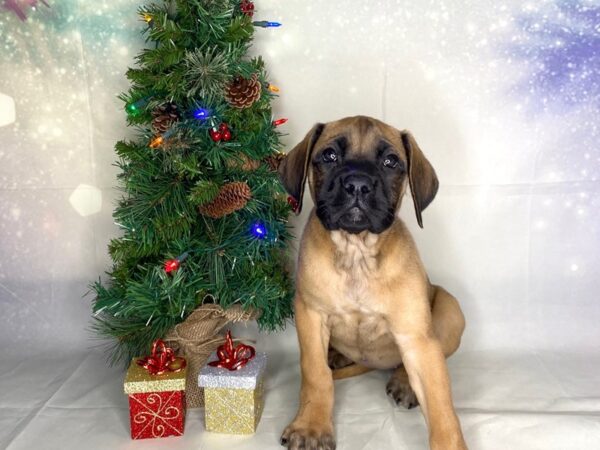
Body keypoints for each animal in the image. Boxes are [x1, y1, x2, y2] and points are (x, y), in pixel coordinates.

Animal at [276, 116, 468, 450]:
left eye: (391, 161)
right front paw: (311, 427)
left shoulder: (416, 336)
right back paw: (337, 356)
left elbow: (440, 404)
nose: (358, 185)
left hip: (449, 307)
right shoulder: (310, 314)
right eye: (329, 155)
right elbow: (315, 373)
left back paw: (404, 382)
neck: (357, 254)